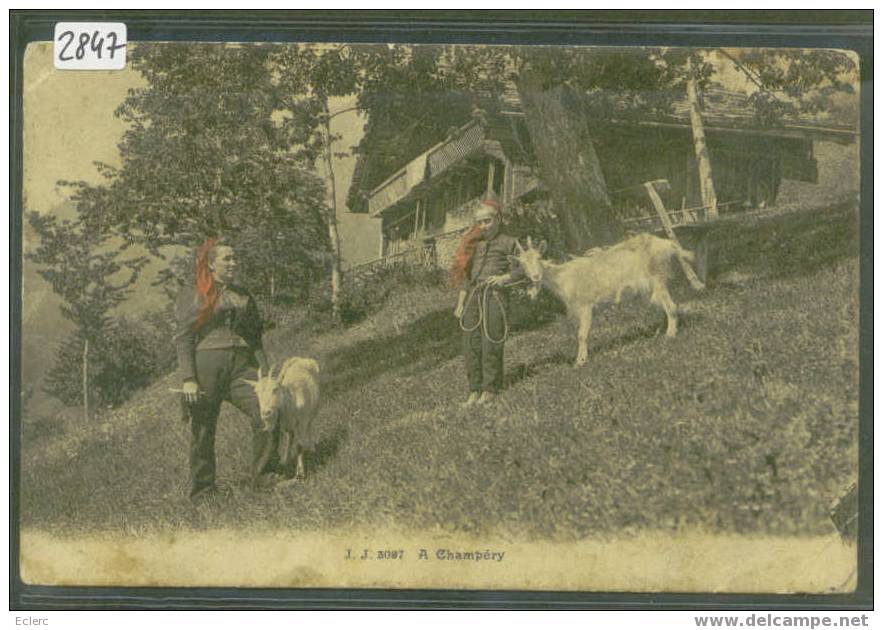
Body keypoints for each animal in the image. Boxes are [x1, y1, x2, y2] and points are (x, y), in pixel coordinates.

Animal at [512, 235, 704, 368]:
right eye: (522, 264)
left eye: (538, 257)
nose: (536, 276)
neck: (564, 279)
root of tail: (667, 244)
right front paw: (579, 359)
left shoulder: (586, 306)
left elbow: (582, 334)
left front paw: (580, 361)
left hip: (658, 278)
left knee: (671, 306)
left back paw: (670, 335)